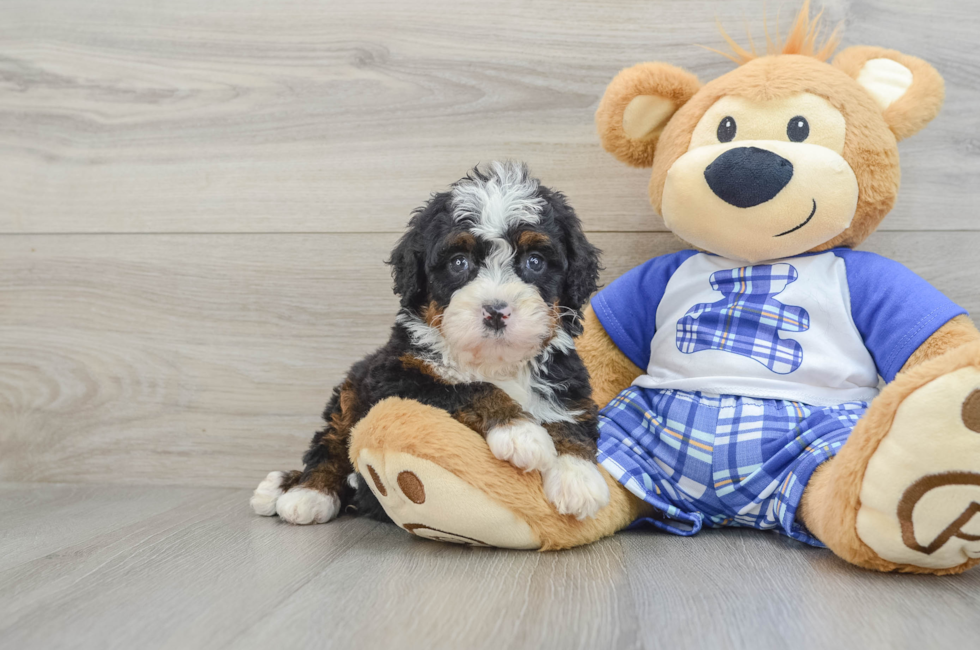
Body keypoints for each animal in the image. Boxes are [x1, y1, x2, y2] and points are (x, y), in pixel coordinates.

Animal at [249, 161, 608, 520]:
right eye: (459, 262)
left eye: (535, 261)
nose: (495, 311)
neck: (494, 363)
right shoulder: (397, 379)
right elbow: (468, 388)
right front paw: (520, 430)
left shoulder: (569, 382)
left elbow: (570, 419)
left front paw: (578, 478)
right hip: (350, 393)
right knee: (331, 442)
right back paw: (303, 492)